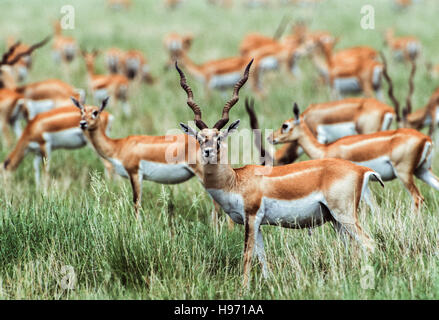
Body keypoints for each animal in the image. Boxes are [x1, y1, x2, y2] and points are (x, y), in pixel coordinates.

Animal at [175, 60, 382, 288]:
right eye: (200, 138)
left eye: (219, 138)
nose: (208, 152)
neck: (235, 180)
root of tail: (362, 169)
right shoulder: (257, 224)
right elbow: (262, 255)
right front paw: (266, 283)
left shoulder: (252, 217)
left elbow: (247, 254)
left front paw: (243, 289)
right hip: (335, 220)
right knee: (352, 247)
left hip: (344, 215)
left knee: (369, 243)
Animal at [268, 102, 439, 210]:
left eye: (285, 125)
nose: (271, 137)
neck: (325, 149)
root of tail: (426, 139)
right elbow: (374, 207)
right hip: (422, 171)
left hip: (404, 174)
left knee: (417, 199)